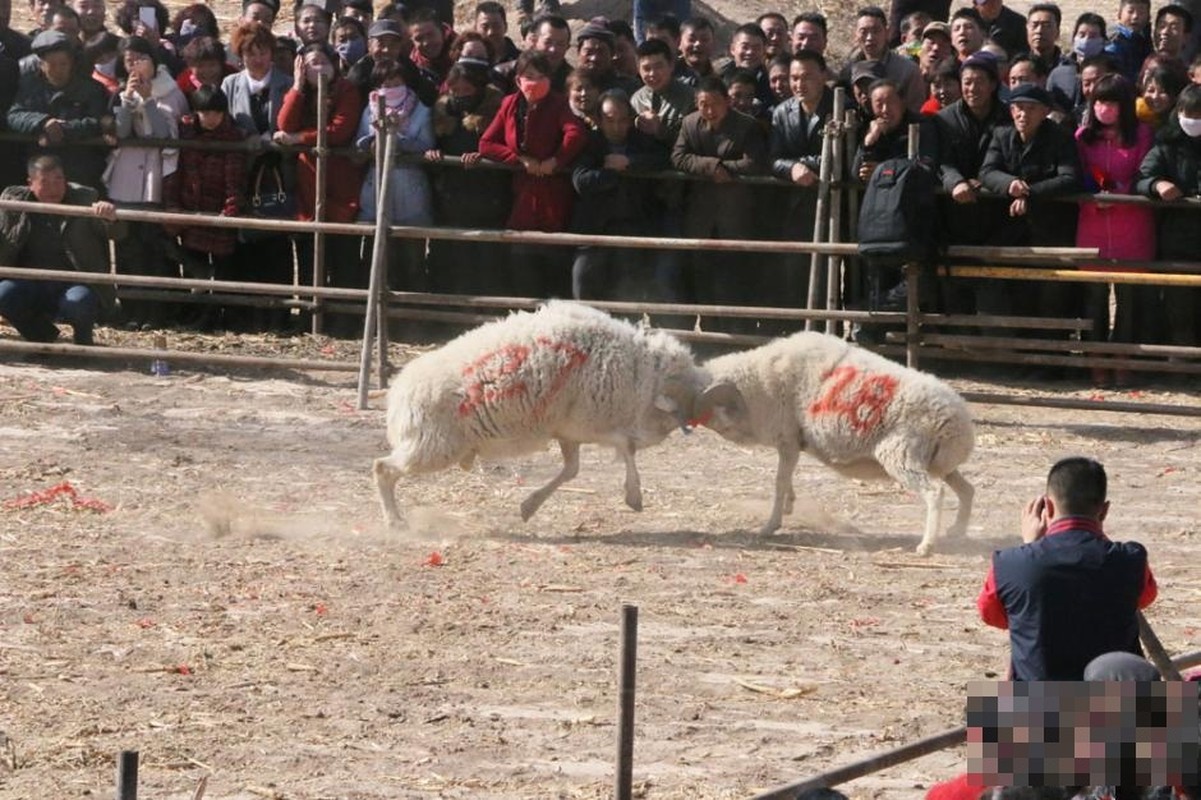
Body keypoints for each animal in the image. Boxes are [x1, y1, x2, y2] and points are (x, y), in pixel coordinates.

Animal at [369, 299, 701, 523]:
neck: (638, 372)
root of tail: (398, 394)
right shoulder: (588, 423)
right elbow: (626, 447)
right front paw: (634, 495)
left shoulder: (567, 431)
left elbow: (571, 470)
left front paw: (529, 506)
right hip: (433, 446)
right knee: (382, 468)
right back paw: (394, 521)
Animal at [696, 329, 975, 554]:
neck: (761, 383)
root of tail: (959, 422)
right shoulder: (792, 444)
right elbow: (786, 479)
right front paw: (788, 507)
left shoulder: (787, 438)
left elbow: (779, 482)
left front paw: (770, 525)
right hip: (936, 463)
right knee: (967, 490)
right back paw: (957, 530)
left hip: (901, 454)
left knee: (935, 492)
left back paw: (927, 545)